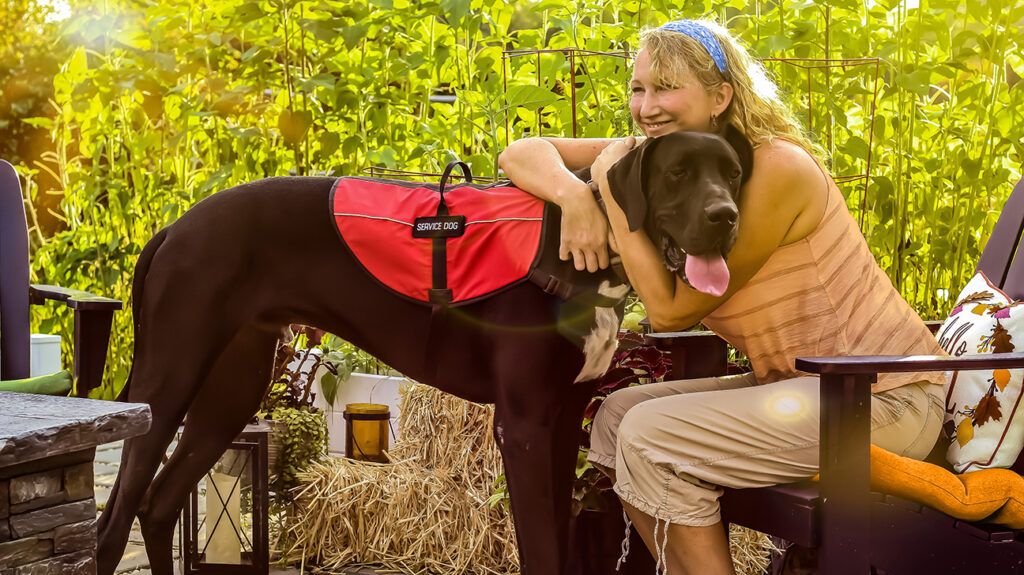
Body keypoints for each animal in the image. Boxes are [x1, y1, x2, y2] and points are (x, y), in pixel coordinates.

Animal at [96, 128, 753, 572]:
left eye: (731, 173)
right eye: (678, 173)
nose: (727, 218)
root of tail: (173, 229)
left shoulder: (565, 419)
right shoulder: (523, 425)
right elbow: (540, 548)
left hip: (232, 388)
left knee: (157, 505)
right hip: (169, 382)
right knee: (113, 523)